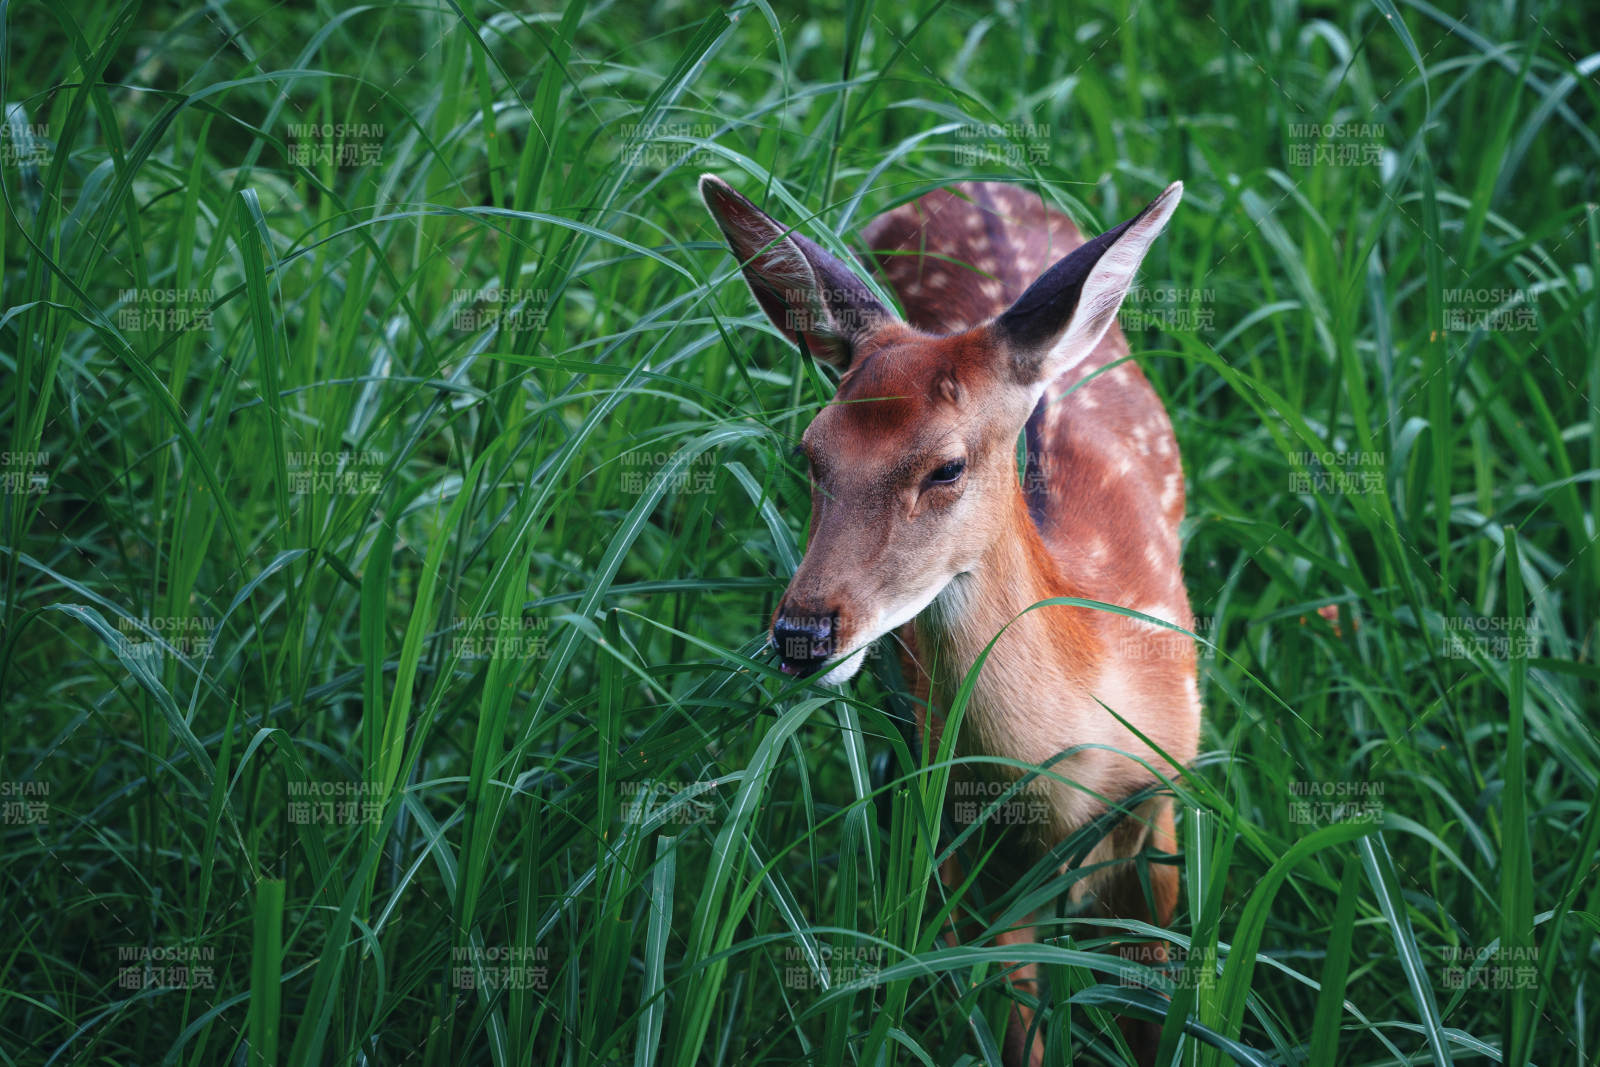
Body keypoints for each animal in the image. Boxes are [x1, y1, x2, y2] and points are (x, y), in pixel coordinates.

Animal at [699, 173, 1199, 1065]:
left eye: (947, 466)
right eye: (811, 453)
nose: (802, 634)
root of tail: (973, 180)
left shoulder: (1162, 800)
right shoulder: (975, 852)